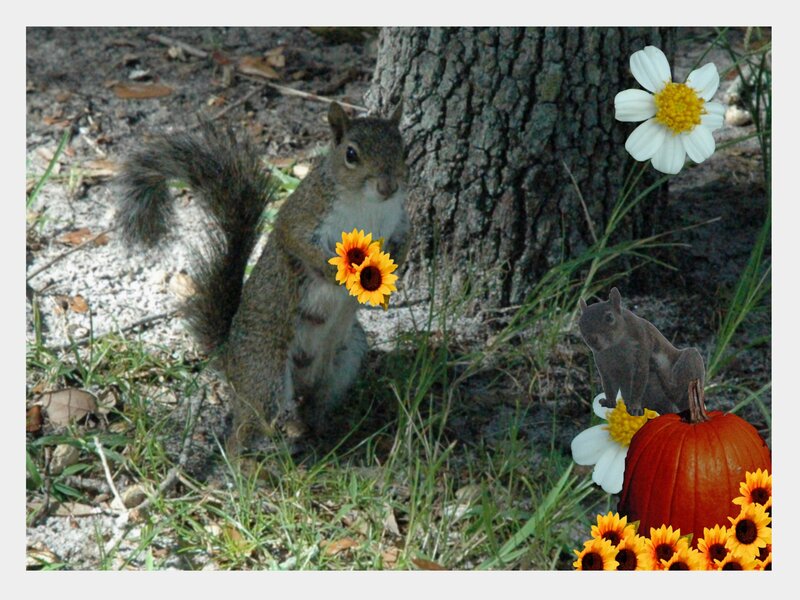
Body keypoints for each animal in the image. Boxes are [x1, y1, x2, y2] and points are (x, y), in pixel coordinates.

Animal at [116, 101, 409, 454]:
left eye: (404, 149)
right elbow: (299, 244)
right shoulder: (303, 215)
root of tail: (230, 359)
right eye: (351, 154)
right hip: (266, 373)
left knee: (315, 405)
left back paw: (322, 434)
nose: (388, 187)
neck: (367, 206)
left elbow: (404, 245)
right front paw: (338, 277)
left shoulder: (397, 222)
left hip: (347, 355)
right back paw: (245, 461)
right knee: (243, 430)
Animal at [578, 287, 705, 416]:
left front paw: (635, 407)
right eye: (580, 323)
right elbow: (609, 386)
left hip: (690, 361)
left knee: (678, 394)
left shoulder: (641, 350)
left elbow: (638, 384)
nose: (591, 339)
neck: (613, 348)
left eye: (609, 317)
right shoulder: (605, 366)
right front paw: (609, 402)